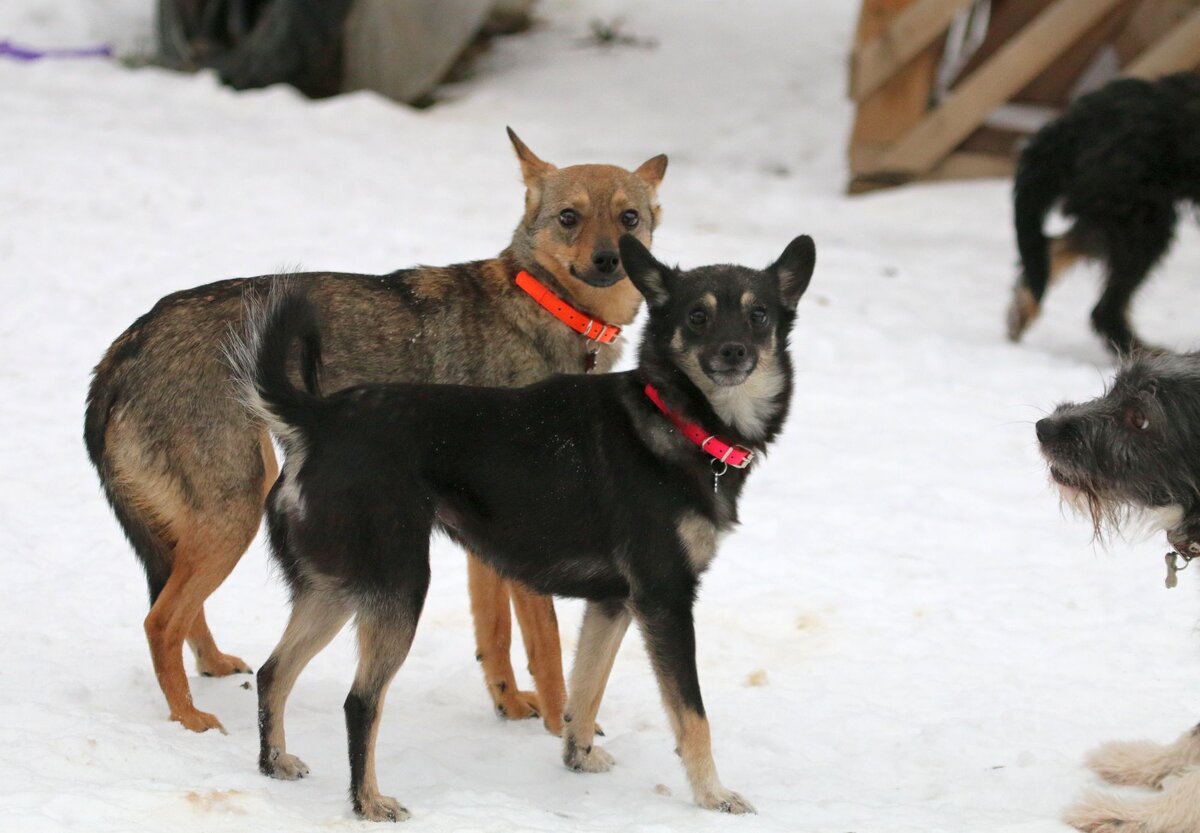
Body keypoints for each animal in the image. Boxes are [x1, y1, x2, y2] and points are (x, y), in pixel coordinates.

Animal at [84, 127, 667, 734]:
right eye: (569, 217)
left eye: (628, 218)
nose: (607, 259)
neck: (551, 310)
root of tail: (121, 352)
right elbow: (547, 647)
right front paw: (560, 729)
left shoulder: (488, 540)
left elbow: (496, 638)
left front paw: (508, 706)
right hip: (237, 508)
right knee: (160, 621)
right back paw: (190, 720)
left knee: (178, 609)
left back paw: (214, 667)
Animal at [229, 232, 816, 820]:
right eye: (697, 316)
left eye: (759, 314)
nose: (734, 351)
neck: (675, 416)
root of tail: (317, 420)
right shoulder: (665, 598)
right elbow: (692, 714)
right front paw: (713, 794)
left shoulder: (614, 603)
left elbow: (586, 688)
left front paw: (579, 757)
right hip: (398, 584)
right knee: (360, 701)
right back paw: (368, 801)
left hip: (336, 587)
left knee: (273, 672)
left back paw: (274, 763)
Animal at [1003, 71, 1200, 355]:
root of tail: (1072, 123)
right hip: (1139, 221)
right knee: (1104, 310)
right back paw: (1143, 352)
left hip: (1110, 213)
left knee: (1052, 249)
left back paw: (1020, 311)